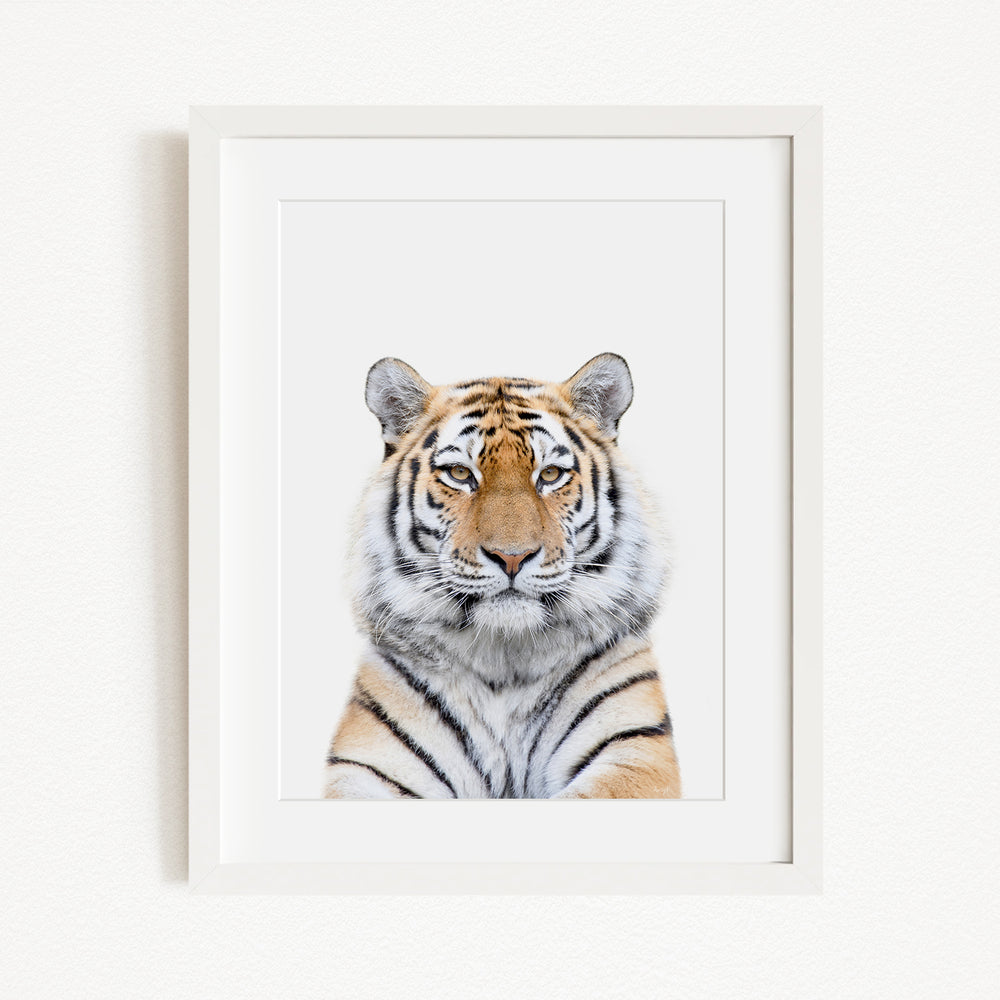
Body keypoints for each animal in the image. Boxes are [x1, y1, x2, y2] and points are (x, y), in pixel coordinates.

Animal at [323, 353, 681, 799]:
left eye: (550, 475)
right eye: (460, 474)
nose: (512, 557)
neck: (505, 663)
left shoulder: (635, 751)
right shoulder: (367, 766)